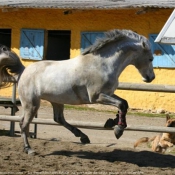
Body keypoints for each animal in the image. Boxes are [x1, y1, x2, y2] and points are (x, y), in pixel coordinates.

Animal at [0, 29, 155, 154]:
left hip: (56, 100)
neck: (103, 64)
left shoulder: (108, 93)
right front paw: (118, 129)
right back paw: (29, 149)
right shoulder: (96, 96)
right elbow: (121, 104)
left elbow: (124, 103)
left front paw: (113, 122)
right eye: (150, 58)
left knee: (58, 119)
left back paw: (83, 137)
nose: (151, 77)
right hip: (31, 104)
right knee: (24, 124)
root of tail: (23, 70)